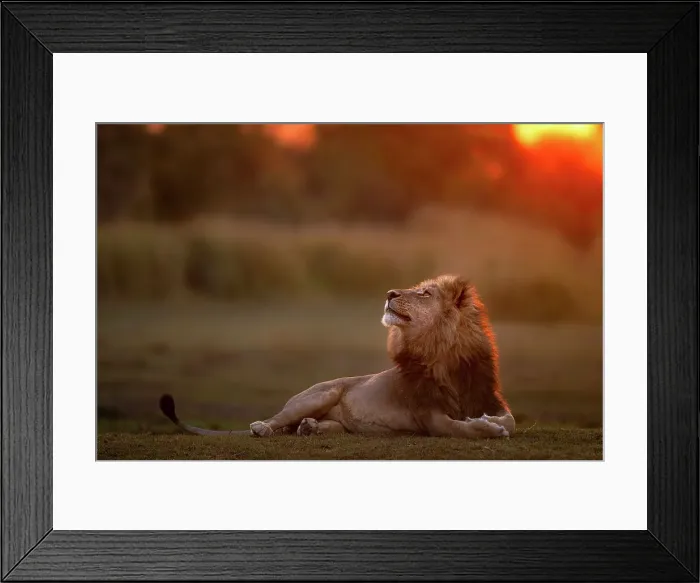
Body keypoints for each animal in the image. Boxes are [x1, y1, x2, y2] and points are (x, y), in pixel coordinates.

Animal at [159, 274, 515, 439]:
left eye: (425, 293)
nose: (389, 293)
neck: (442, 354)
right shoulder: (428, 415)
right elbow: (458, 428)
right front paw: (487, 429)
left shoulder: (487, 396)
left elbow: (507, 418)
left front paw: (492, 422)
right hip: (318, 394)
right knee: (276, 420)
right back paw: (264, 427)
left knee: (311, 426)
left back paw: (309, 429)